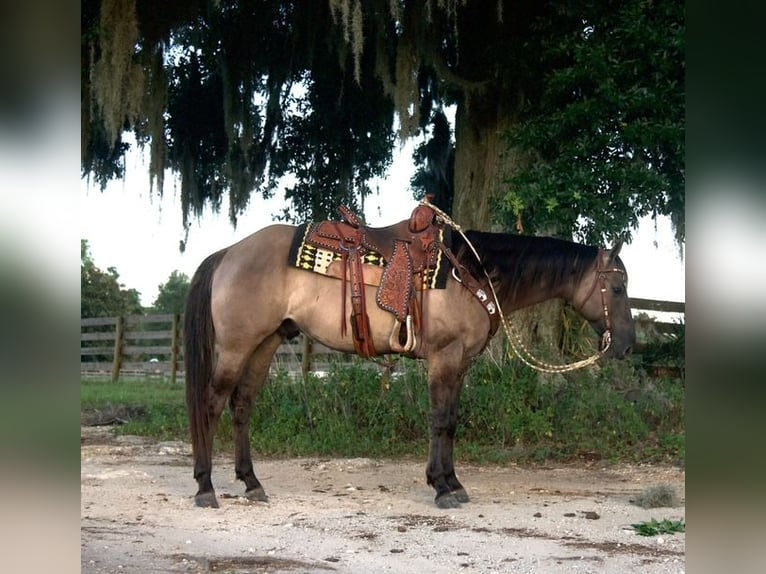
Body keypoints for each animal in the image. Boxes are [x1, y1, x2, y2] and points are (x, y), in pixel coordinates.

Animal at [184, 215, 636, 508]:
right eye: (616, 287)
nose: (628, 346)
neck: (471, 273)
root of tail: (229, 252)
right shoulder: (444, 357)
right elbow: (439, 419)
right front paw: (441, 488)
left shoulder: (460, 363)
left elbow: (451, 420)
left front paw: (452, 482)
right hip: (237, 346)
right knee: (211, 405)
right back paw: (206, 488)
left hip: (265, 344)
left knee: (242, 406)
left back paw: (251, 483)